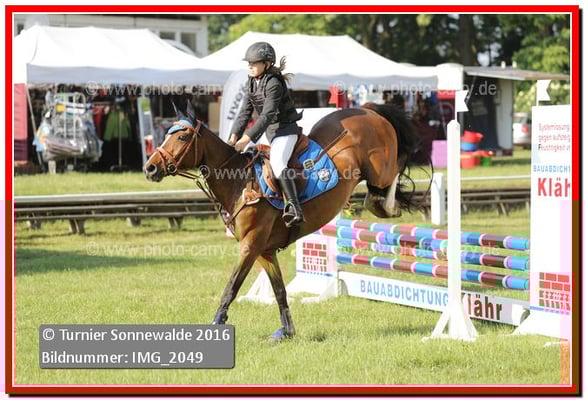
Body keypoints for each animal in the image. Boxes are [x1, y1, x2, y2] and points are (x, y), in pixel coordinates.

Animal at [143, 100, 431, 340]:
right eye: (167, 133)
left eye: (182, 136)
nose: (150, 168)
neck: (237, 181)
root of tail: (369, 110)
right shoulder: (264, 251)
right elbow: (279, 290)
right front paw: (287, 331)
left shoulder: (250, 245)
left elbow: (232, 287)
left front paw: (216, 323)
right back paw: (381, 203)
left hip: (380, 169)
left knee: (396, 169)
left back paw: (387, 203)